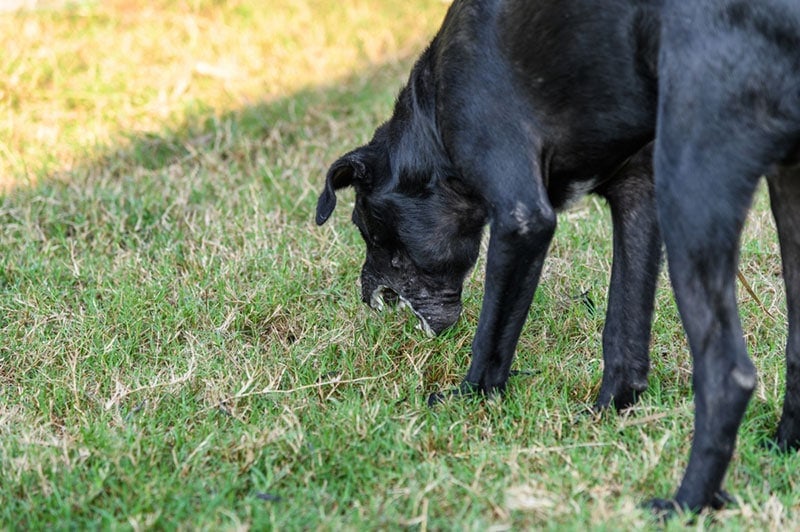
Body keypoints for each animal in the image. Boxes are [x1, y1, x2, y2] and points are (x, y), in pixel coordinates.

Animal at [316, 0, 796, 516]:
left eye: (367, 229)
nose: (366, 295)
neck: (432, 119)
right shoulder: (637, 194)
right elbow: (623, 331)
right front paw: (609, 413)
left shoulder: (522, 220)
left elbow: (491, 338)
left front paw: (468, 401)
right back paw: (783, 448)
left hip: (692, 189)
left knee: (728, 374)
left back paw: (685, 504)